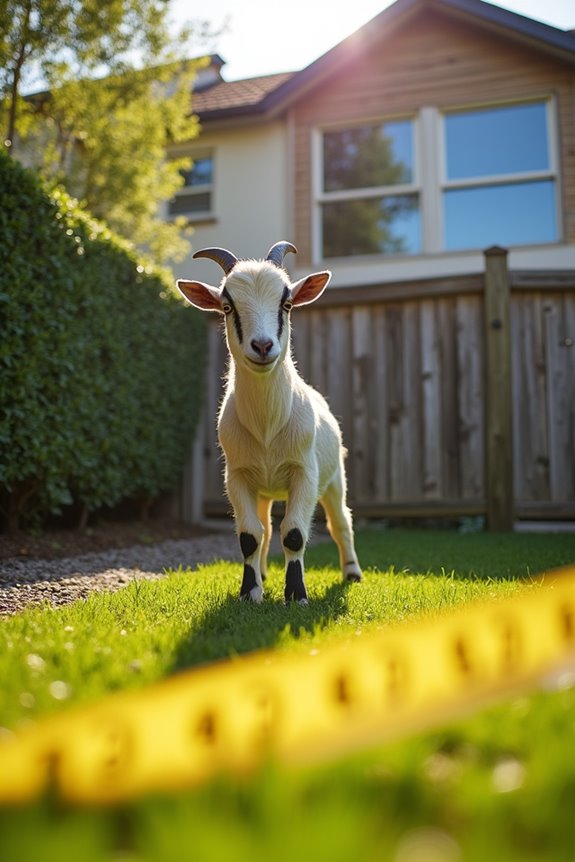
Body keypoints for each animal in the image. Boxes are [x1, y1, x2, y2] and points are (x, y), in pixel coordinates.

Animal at [176, 241, 362, 604]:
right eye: (227, 306)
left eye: (286, 304)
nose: (262, 346)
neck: (267, 427)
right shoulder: (237, 477)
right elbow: (250, 535)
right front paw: (250, 592)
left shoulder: (305, 474)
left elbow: (294, 534)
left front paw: (297, 595)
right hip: (263, 488)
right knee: (265, 525)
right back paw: (262, 573)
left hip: (335, 478)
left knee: (340, 522)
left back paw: (352, 573)